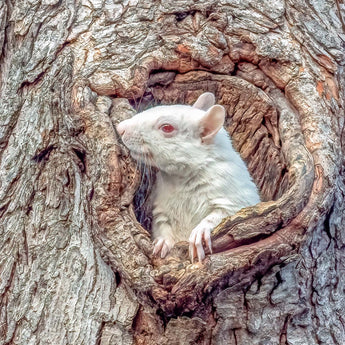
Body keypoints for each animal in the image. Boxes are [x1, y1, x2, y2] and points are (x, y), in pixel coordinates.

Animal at [117, 91, 260, 260]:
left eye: (167, 127)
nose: (120, 128)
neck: (180, 179)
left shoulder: (235, 196)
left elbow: (222, 215)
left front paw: (200, 232)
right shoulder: (160, 208)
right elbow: (161, 224)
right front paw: (163, 242)